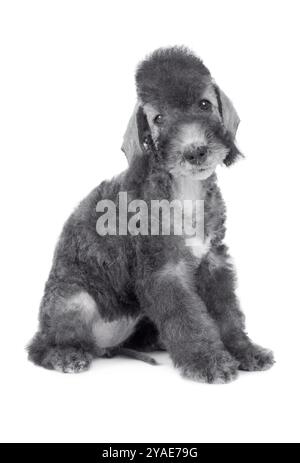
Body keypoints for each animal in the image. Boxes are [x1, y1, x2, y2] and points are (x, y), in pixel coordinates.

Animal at [28, 45, 274, 382]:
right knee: (41, 346)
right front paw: (209, 360)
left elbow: (227, 314)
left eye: (205, 104)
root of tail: (108, 346)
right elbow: (187, 320)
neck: (184, 189)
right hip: (74, 300)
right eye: (158, 118)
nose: (194, 150)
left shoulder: (213, 262)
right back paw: (66, 356)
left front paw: (245, 351)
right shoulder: (162, 272)